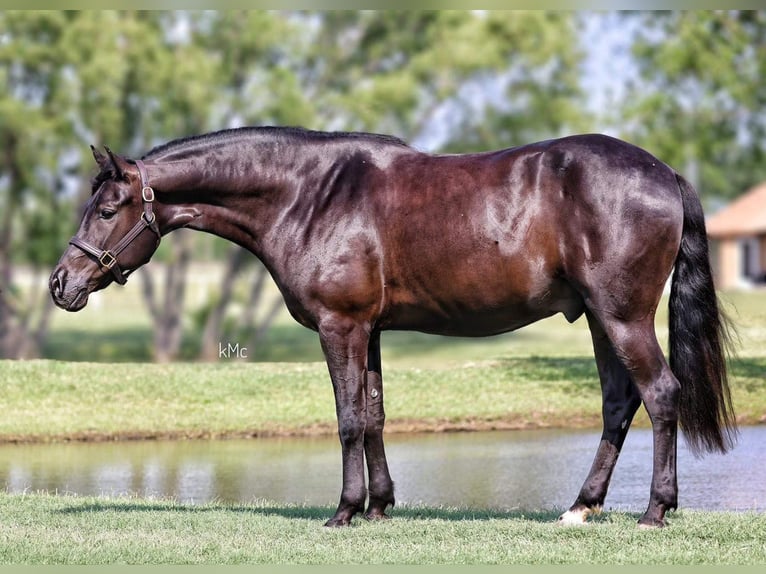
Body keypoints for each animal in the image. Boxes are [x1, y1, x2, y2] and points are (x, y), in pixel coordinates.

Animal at [49, 127, 736, 532]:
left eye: (106, 210)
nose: (60, 284)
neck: (309, 195)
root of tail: (665, 172)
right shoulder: (369, 330)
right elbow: (375, 414)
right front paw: (379, 505)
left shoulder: (340, 327)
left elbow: (348, 418)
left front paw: (344, 510)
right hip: (598, 316)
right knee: (620, 402)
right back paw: (580, 507)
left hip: (621, 315)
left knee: (660, 394)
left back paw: (654, 511)